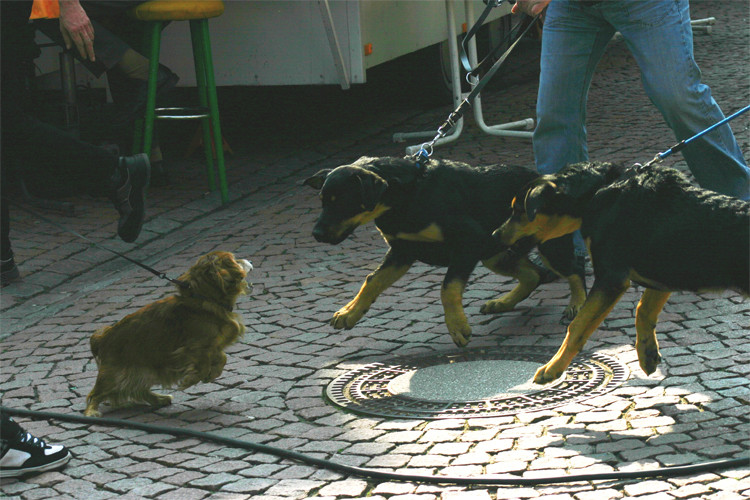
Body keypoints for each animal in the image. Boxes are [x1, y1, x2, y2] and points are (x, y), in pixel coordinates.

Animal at [86, 250, 253, 418]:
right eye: (235, 261)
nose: (249, 261)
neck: (204, 298)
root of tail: (102, 338)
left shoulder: (212, 347)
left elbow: (222, 358)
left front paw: (212, 374)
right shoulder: (194, 348)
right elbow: (204, 364)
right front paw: (194, 379)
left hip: (144, 370)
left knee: (138, 390)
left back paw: (160, 399)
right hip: (115, 374)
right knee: (95, 394)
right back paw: (91, 412)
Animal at [304, 157, 588, 348]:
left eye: (342, 201)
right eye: (322, 201)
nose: (316, 234)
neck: (406, 197)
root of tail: (552, 182)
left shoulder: (468, 242)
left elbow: (448, 287)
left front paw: (457, 326)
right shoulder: (402, 252)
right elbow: (372, 281)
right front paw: (350, 313)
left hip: (547, 245)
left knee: (574, 269)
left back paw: (577, 305)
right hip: (495, 253)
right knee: (533, 274)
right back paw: (502, 303)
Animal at [496, 162, 748, 384]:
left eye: (519, 210)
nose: (494, 235)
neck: (596, 192)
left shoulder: (610, 278)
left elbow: (577, 325)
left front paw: (552, 368)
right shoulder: (660, 276)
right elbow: (643, 310)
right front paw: (647, 355)